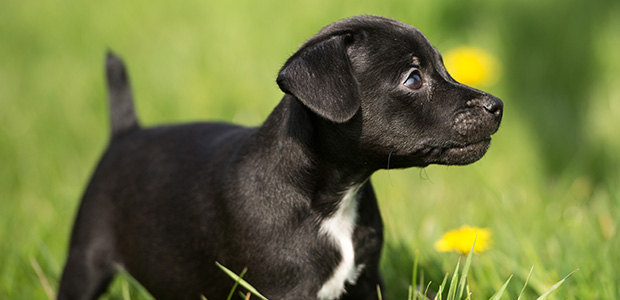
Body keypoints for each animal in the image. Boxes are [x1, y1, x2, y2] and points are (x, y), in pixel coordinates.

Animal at [58, 14, 504, 300]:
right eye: (413, 78)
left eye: (444, 68)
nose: (496, 105)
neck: (332, 199)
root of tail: (126, 132)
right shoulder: (283, 290)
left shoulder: (365, 283)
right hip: (85, 260)